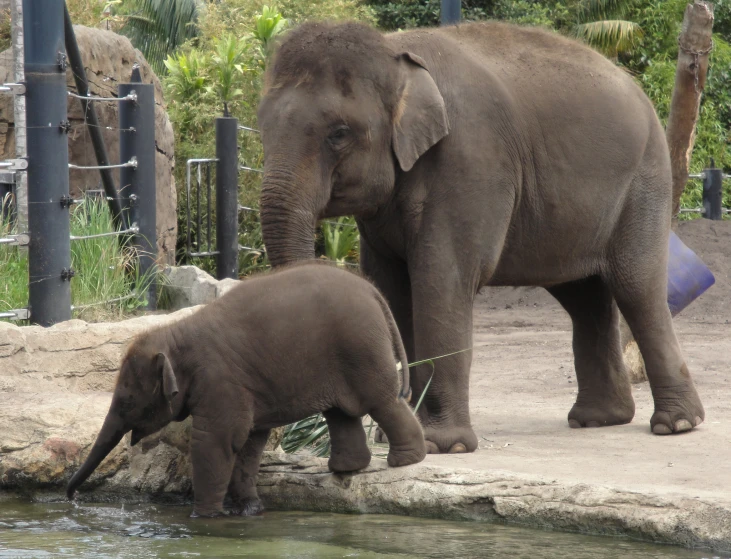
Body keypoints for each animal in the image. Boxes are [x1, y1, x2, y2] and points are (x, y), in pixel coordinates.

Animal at [67, 262, 428, 516]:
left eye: (127, 400)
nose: (71, 497)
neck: (174, 331)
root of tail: (374, 292)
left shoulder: (218, 379)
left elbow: (217, 439)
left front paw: (204, 517)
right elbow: (249, 441)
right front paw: (250, 510)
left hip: (360, 348)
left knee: (380, 401)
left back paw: (404, 461)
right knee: (340, 413)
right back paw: (345, 469)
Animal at [256, 20, 704, 456]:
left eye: (339, 133)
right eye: (261, 130)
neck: (391, 52)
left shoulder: (469, 160)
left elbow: (442, 279)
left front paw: (443, 445)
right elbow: (392, 287)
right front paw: (397, 435)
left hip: (646, 181)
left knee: (637, 287)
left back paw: (676, 425)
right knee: (584, 297)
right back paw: (599, 420)